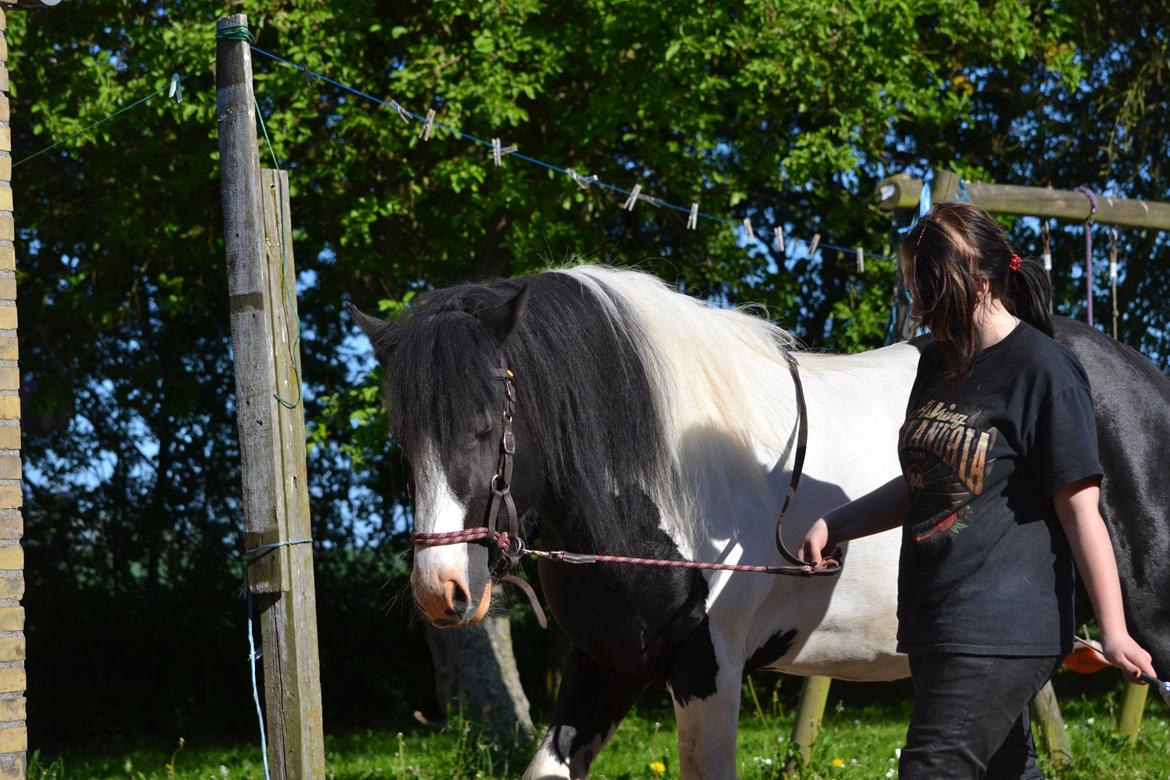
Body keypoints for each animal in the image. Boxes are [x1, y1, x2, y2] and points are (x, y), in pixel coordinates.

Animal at [348, 265, 1170, 776]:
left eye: (486, 426)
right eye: (402, 438)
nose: (441, 590)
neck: (656, 472)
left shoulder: (706, 671)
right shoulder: (607, 664)